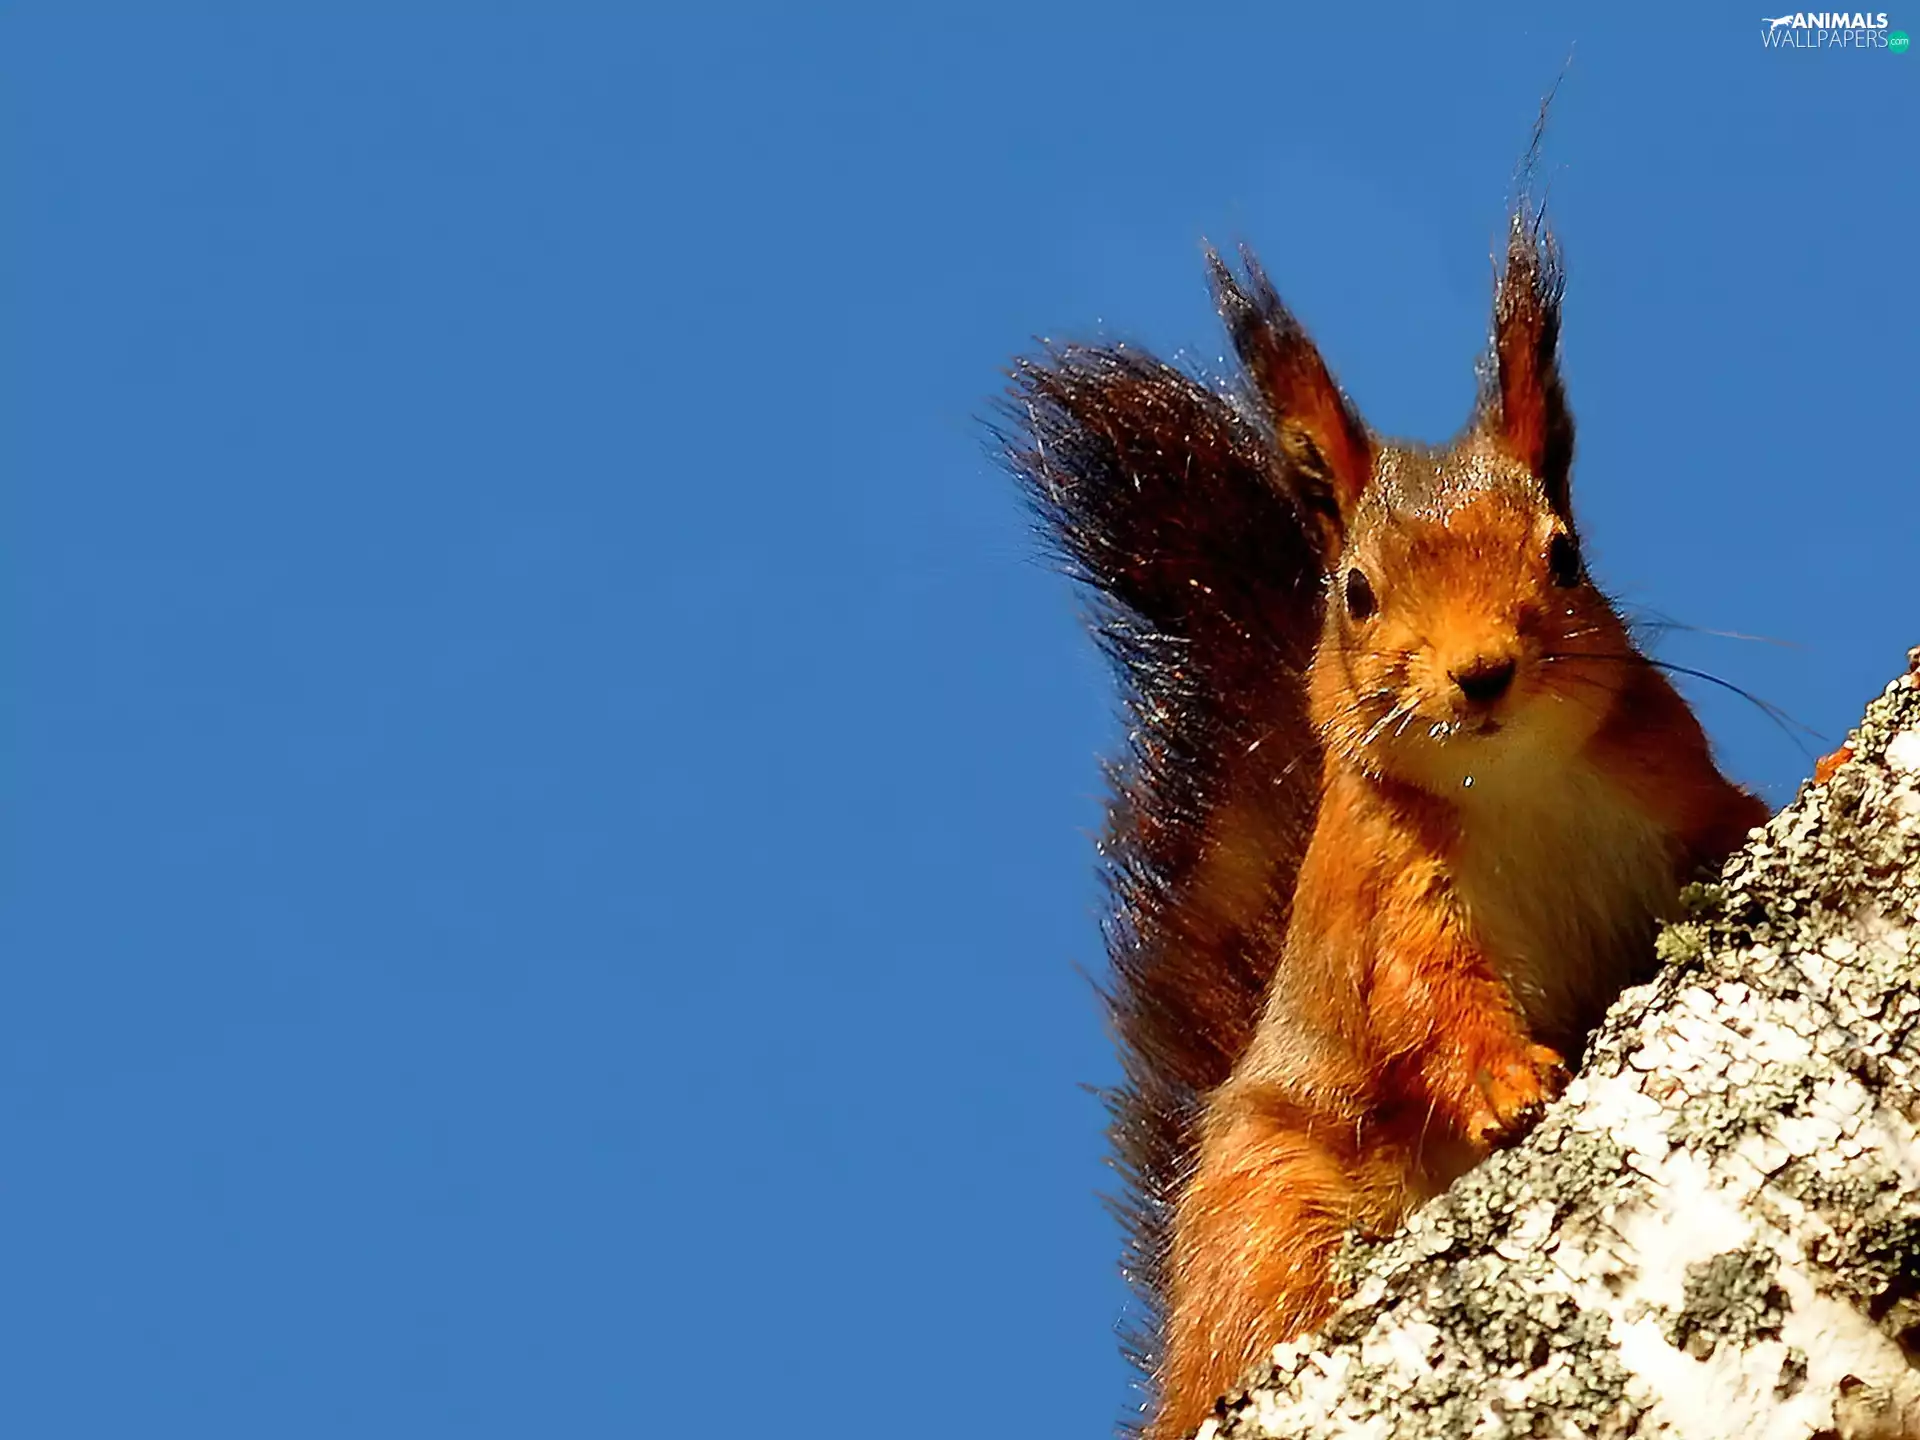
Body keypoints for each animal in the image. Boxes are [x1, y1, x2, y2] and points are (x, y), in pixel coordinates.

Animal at [999, 206, 1769, 1438]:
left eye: (1565, 555)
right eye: (1354, 593)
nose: (1482, 673)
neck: (1516, 784)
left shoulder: (1678, 789)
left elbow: (1739, 822)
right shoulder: (1386, 896)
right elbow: (1424, 1003)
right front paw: (1505, 1079)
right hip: (1271, 1209)